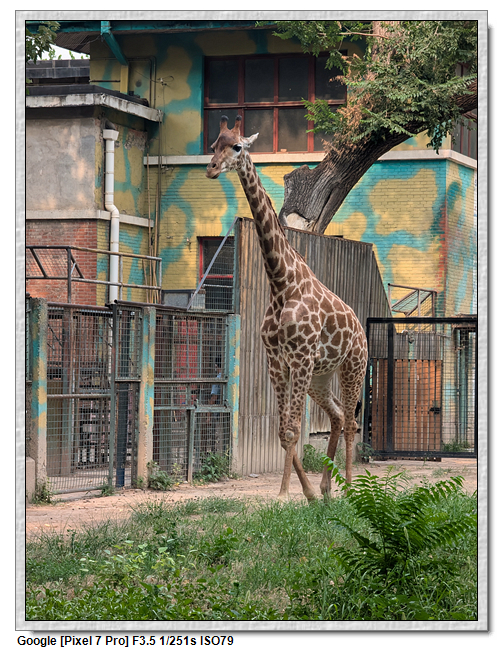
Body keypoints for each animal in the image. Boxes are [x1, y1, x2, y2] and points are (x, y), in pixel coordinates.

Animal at [206, 115, 368, 501]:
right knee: (338, 416)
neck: (281, 283)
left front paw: (284, 495)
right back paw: (326, 489)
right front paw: (305, 493)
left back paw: (351, 489)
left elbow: (293, 429)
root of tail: (361, 328)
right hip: (320, 377)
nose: (212, 169)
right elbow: (283, 430)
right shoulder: (277, 361)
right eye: (213, 146)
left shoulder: (300, 358)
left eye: (237, 147)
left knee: (352, 421)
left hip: (352, 366)